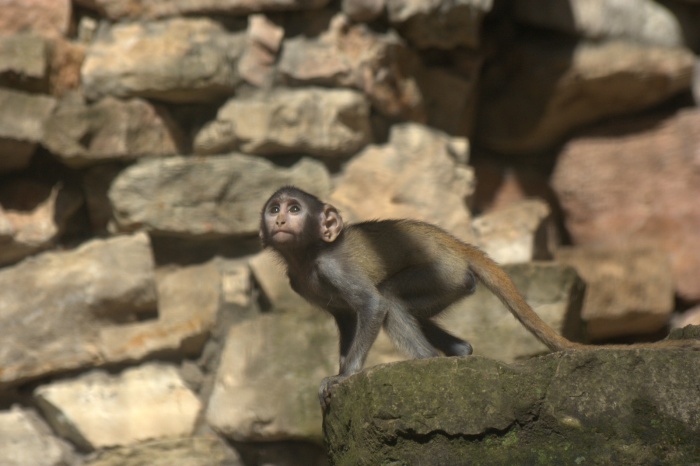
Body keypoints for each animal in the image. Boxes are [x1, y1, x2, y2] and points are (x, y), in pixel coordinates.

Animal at [258, 186, 700, 408]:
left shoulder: (333, 266)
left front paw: (345, 375)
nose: (279, 220)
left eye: (295, 209)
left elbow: (372, 304)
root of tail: (456, 244)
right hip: (455, 283)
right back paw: (459, 351)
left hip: (444, 273)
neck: (309, 253)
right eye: (274, 208)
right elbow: (348, 318)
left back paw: (428, 361)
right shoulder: (302, 281)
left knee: (390, 298)